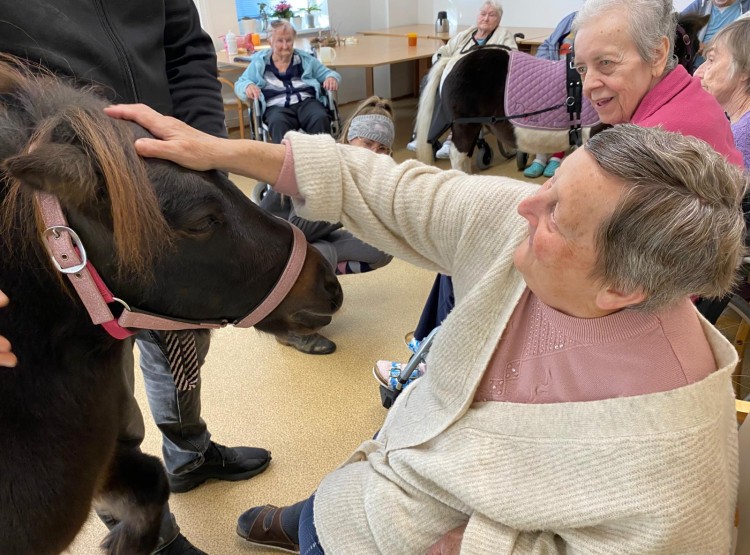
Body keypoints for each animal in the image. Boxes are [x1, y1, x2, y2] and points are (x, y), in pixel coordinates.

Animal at [418, 13, 712, 172]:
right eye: (686, 50)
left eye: (694, 48)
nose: (693, 84)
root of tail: (456, 58)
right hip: (465, 127)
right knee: (459, 159)